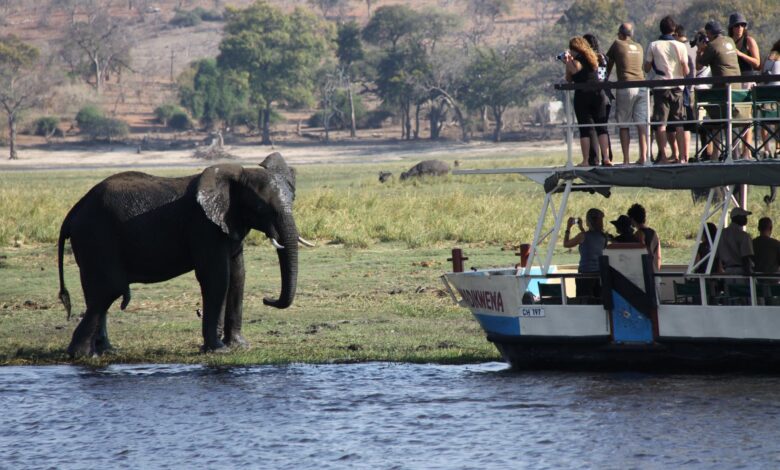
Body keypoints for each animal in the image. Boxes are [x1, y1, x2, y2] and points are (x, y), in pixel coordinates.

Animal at [55, 152, 302, 358]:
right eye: (261, 209)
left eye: (293, 199)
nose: (267, 299)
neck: (237, 176)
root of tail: (73, 212)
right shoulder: (203, 227)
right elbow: (218, 278)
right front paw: (218, 350)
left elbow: (238, 277)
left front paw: (240, 346)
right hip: (96, 238)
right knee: (107, 289)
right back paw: (84, 355)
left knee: (97, 294)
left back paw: (105, 351)